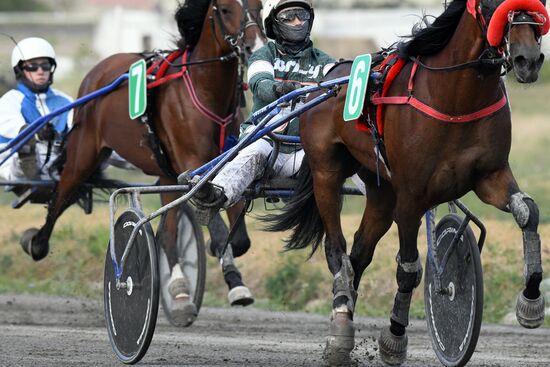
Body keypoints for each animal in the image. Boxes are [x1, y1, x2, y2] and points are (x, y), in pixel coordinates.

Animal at [19, 0, 266, 314]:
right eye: (224, 9)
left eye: (259, 6)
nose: (254, 45)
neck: (207, 91)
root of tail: (98, 71)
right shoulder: (192, 165)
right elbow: (220, 230)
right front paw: (230, 272)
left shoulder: (224, 161)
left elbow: (240, 238)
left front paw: (228, 270)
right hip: (83, 154)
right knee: (61, 195)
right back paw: (36, 243)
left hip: (164, 172)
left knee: (169, 235)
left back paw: (180, 290)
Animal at [268, 0, 548, 366]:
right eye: (489, 5)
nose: (528, 59)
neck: (457, 98)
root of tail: (329, 78)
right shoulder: (412, 197)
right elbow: (410, 269)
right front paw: (394, 339)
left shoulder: (492, 177)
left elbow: (528, 212)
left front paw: (531, 301)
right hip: (326, 172)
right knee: (337, 250)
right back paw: (340, 329)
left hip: (381, 190)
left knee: (359, 252)